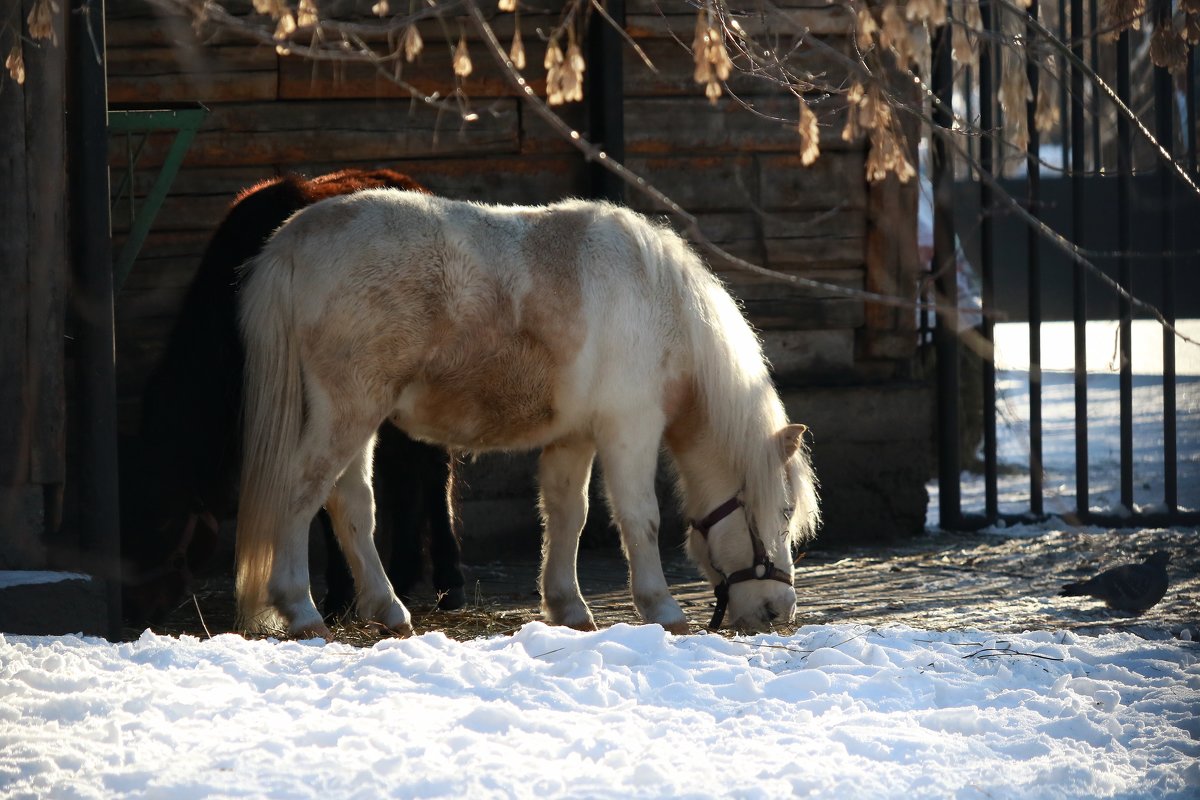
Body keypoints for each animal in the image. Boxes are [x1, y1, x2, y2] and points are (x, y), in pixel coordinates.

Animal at [236, 191, 816, 638]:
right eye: (783, 510)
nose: (778, 611)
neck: (661, 306)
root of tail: (295, 238)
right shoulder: (630, 429)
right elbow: (640, 518)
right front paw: (662, 608)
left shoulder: (574, 437)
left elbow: (567, 515)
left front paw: (568, 607)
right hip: (349, 411)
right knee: (301, 493)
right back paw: (301, 609)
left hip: (356, 421)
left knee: (352, 505)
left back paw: (389, 609)